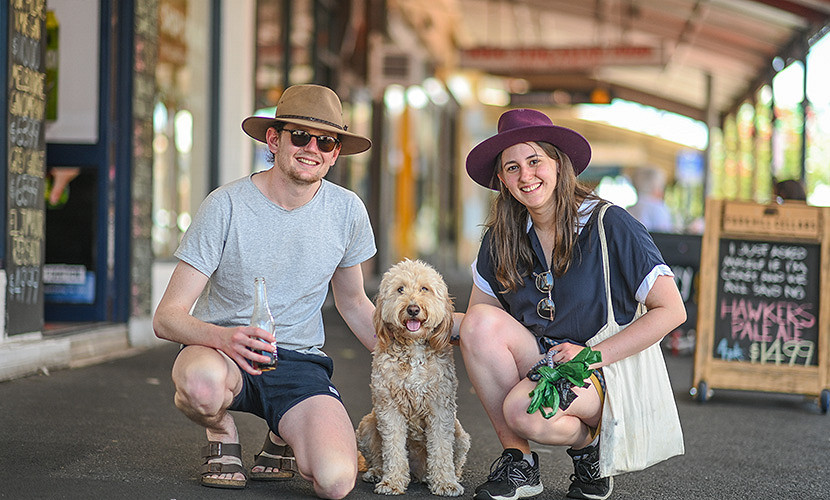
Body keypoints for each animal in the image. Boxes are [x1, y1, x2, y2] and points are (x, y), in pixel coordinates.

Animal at [358, 260, 474, 494]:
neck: (413, 348)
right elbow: (393, 448)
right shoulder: (389, 408)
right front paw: (392, 481)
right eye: (400, 289)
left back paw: (441, 476)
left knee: (454, 459)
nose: (413, 309)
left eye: (424, 289)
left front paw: (445, 482)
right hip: (367, 425)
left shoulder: (440, 408)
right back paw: (377, 472)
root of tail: (416, 472)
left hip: (460, 435)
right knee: (377, 456)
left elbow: (441, 448)